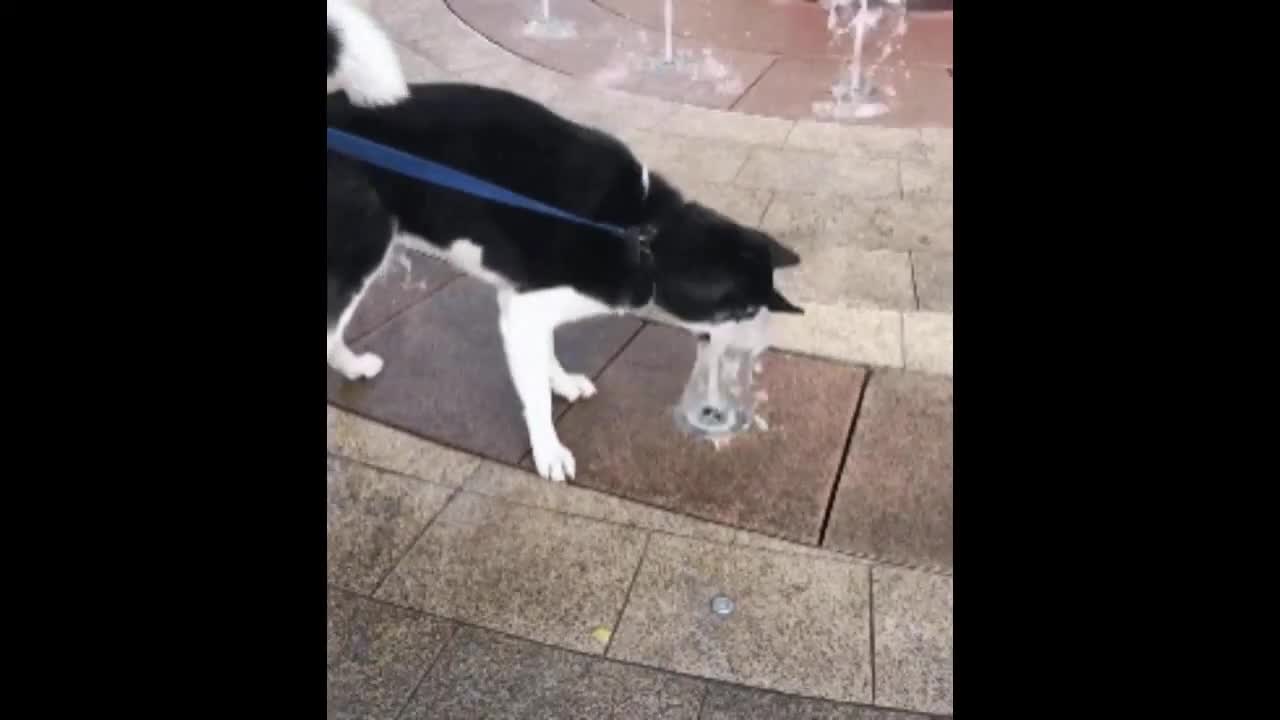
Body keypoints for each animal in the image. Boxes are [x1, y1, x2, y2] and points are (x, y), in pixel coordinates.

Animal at [327, 1, 798, 481]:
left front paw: (561, 381)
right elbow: (534, 396)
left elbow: (545, 356)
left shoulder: (523, 304)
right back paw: (353, 365)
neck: (644, 234)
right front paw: (548, 451)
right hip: (358, 253)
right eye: (740, 311)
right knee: (330, 334)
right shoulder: (523, 313)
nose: (755, 352)